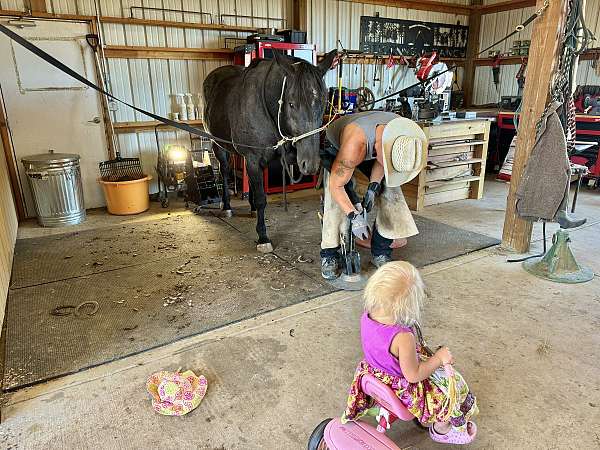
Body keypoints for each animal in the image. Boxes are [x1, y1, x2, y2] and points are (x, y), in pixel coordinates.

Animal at [204, 50, 338, 253]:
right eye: (291, 104)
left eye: (323, 103)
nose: (310, 165)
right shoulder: (253, 158)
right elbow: (261, 198)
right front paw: (263, 237)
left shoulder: (287, 156)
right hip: (218, 145)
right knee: (225, 171)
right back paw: (227, 206)